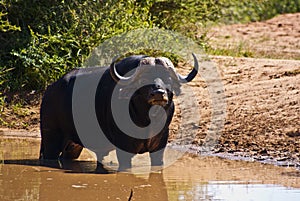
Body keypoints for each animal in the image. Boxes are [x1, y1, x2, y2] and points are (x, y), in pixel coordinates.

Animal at [39, 53, 199, 170]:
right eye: (143, 80)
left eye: (168, 80)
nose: (159, 93)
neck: (147, 121)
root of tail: (50, 90)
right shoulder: (124, 151)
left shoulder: (159, 149)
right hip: (50, 139)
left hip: (73, 146)